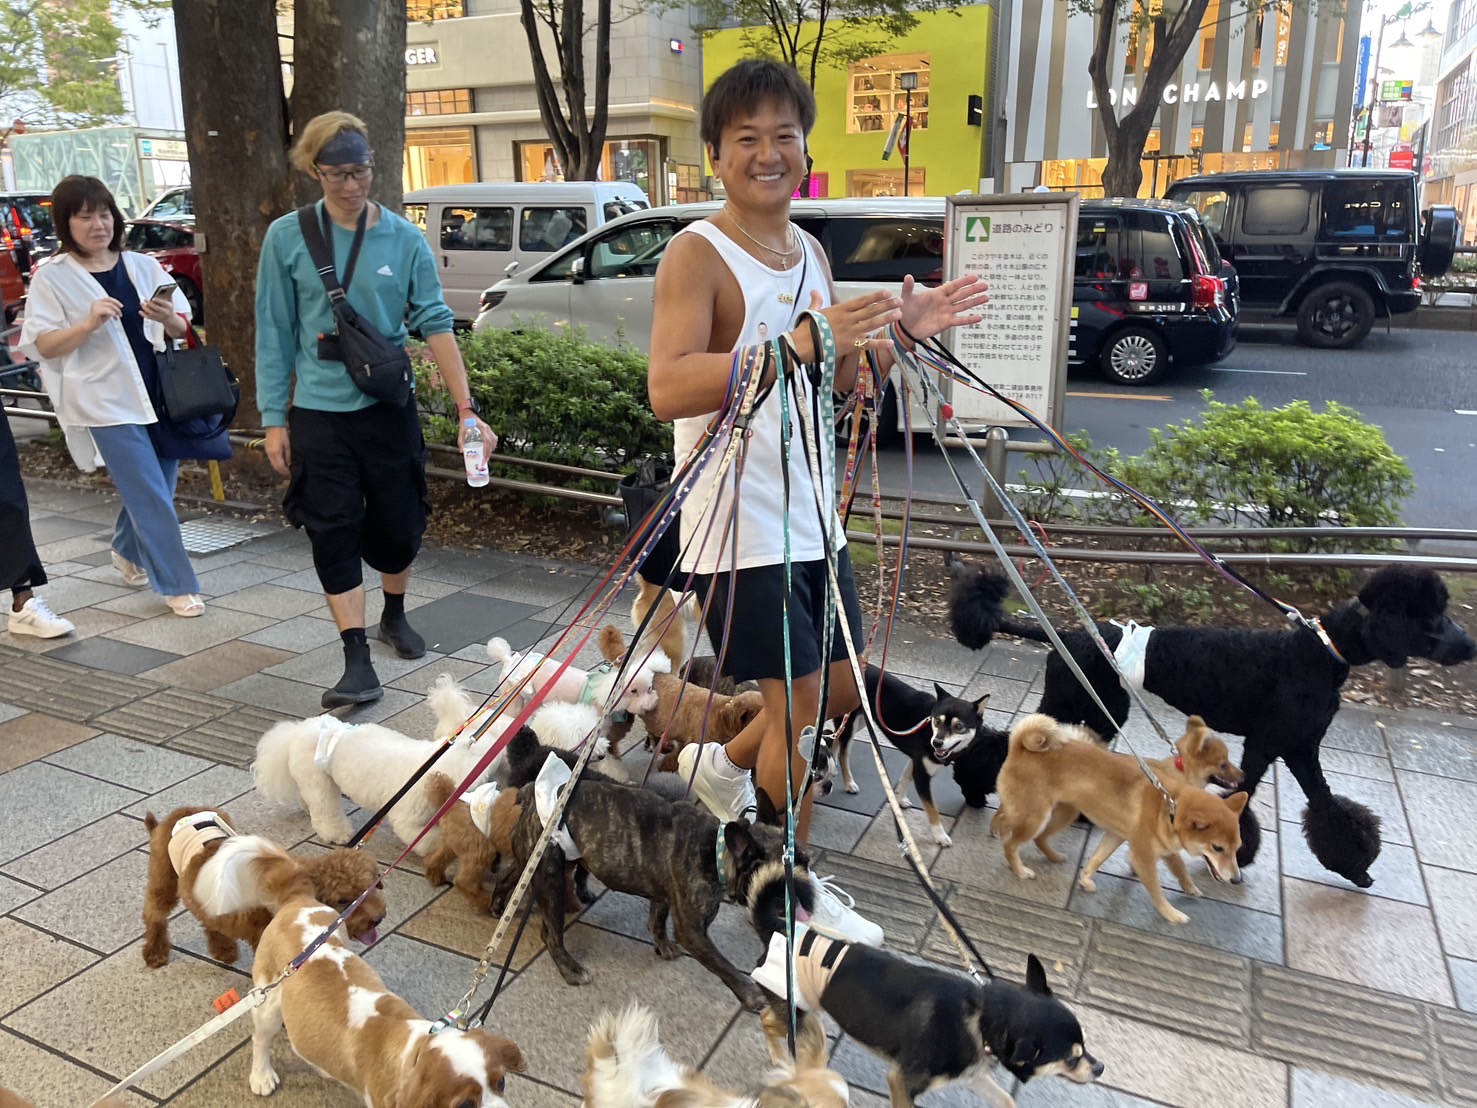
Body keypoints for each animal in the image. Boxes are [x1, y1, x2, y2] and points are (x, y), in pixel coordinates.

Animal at [141, 809, 384, 969]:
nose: (378, 919)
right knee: (154, 914)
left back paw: (223, 948)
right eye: (343, 900)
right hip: (163, 877)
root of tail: (178, 815)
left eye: (372, 886)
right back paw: (155, 951)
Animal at [992, 715, 1246, 921]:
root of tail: (1020, 746)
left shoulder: (1116, 835)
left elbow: (1097, 859)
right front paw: (1172, 913)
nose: (1237, 880)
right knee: (1011, 843)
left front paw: (1085, 879)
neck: (1169, 803)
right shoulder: (1145, 854)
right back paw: (1018, 867)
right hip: (1035, 817)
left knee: (1034, 834)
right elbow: (1166, 879)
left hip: (1062, 812)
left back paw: (1051, 855)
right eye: (1223, 764)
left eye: (1237, 849)